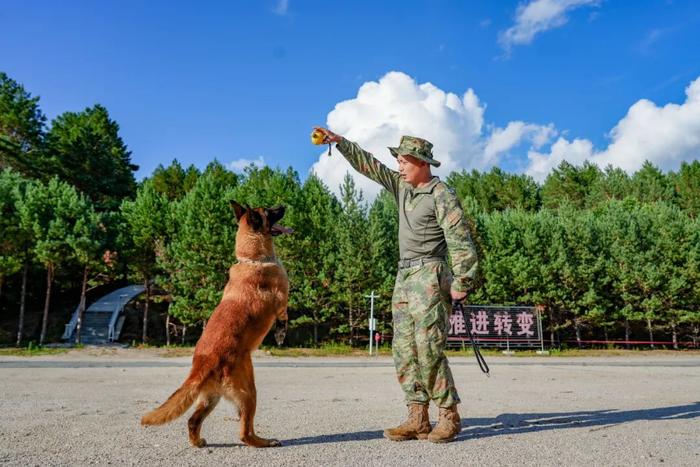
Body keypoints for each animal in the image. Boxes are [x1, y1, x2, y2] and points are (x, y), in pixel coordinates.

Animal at [141, 202, 292, 450]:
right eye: (269, 211)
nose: (283, 205)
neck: (252, 257)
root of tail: (202, 363)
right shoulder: (281, 301)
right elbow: (284, 317)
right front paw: (281, 333)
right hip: (249, 393)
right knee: (244, 433)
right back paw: (265, 442)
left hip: (211, 397)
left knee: (193, 420)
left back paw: (198, 442)